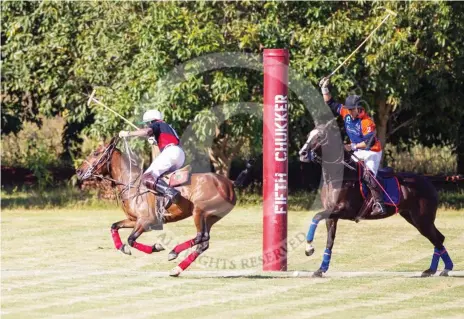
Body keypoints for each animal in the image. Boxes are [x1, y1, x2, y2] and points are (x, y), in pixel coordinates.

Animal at [76, 139, 246, 276]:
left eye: (96, 153)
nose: (79, 171)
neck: (131, 183)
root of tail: (230, 183)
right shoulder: (133, 220)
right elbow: (114, 226)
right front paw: (122, 248)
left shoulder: (146, 221)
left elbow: (131, 239)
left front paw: (156, 247)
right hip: (211, 217)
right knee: (204, 242)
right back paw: (176, 269)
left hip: (199, 211)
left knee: (200, 237)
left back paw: (173, 252)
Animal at [298, 122, 454, 278]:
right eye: (309, 135)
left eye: (320, 136)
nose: (302, 153)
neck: (339, 176)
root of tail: (428, 180)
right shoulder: (332, 216)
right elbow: (329, 241)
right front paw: (320, 269)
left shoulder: (344, 211)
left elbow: (316, 216)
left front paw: (309, 248)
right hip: (412, 217)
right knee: (438, 238)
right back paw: (434, 269)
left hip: (422, 219)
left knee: (437, 239)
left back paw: (442, 268)